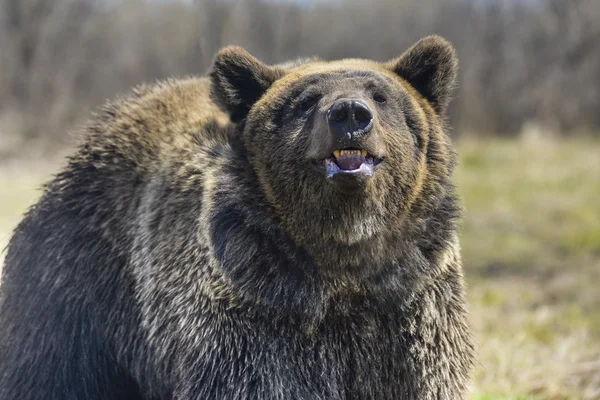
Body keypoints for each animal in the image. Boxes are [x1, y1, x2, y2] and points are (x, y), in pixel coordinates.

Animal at [1, 36, 474, 398]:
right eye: (305, 101)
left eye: (381, 95)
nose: (350, 114)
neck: (341, 261)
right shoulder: (256, 310)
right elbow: (253, 377)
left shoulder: (408, 307)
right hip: (81, 280)